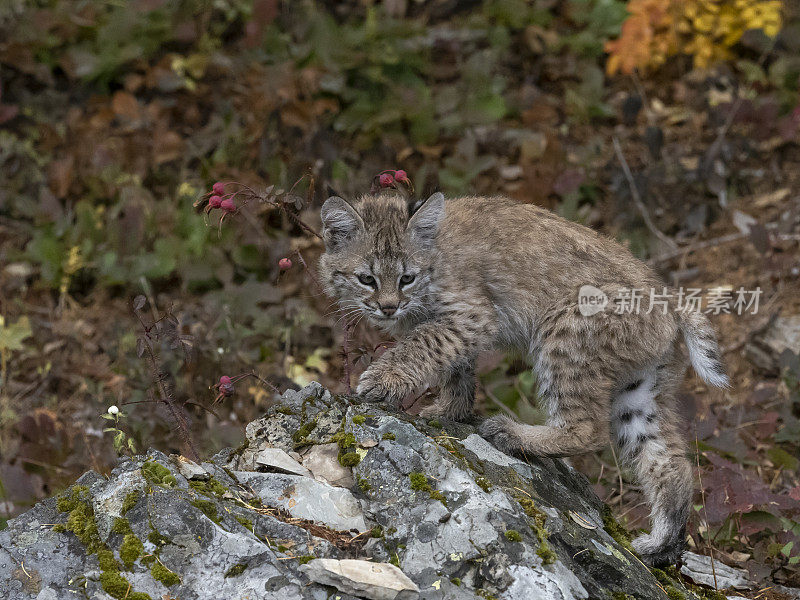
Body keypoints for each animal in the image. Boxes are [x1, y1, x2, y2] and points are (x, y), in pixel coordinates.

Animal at [318, 192, 724, 568]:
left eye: (407, 278)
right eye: (367, 279)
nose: (388, 308)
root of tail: (671, 300)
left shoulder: (473, 316)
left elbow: (423, 345)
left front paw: (383, 380)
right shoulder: (457, 327)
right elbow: (455, 367)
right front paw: (450, 410)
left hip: (565, 326)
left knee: (589, 429)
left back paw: (513, 434)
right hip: (640, 388)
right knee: (671, 462)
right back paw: (660, 545)